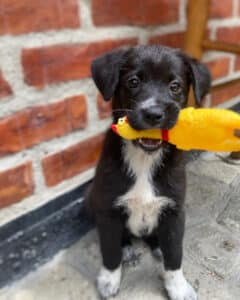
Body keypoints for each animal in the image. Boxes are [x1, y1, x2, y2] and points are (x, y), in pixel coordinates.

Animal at [85, 45, 211, 300]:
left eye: (175, 86)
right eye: (133, 82)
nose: (154, 114)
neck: (144, 159)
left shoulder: (174, 210)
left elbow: (175, 253)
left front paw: (178, 287)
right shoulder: (107, 209)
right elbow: (109, 249)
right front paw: (109, 279)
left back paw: (158, 247)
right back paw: (127, 250)